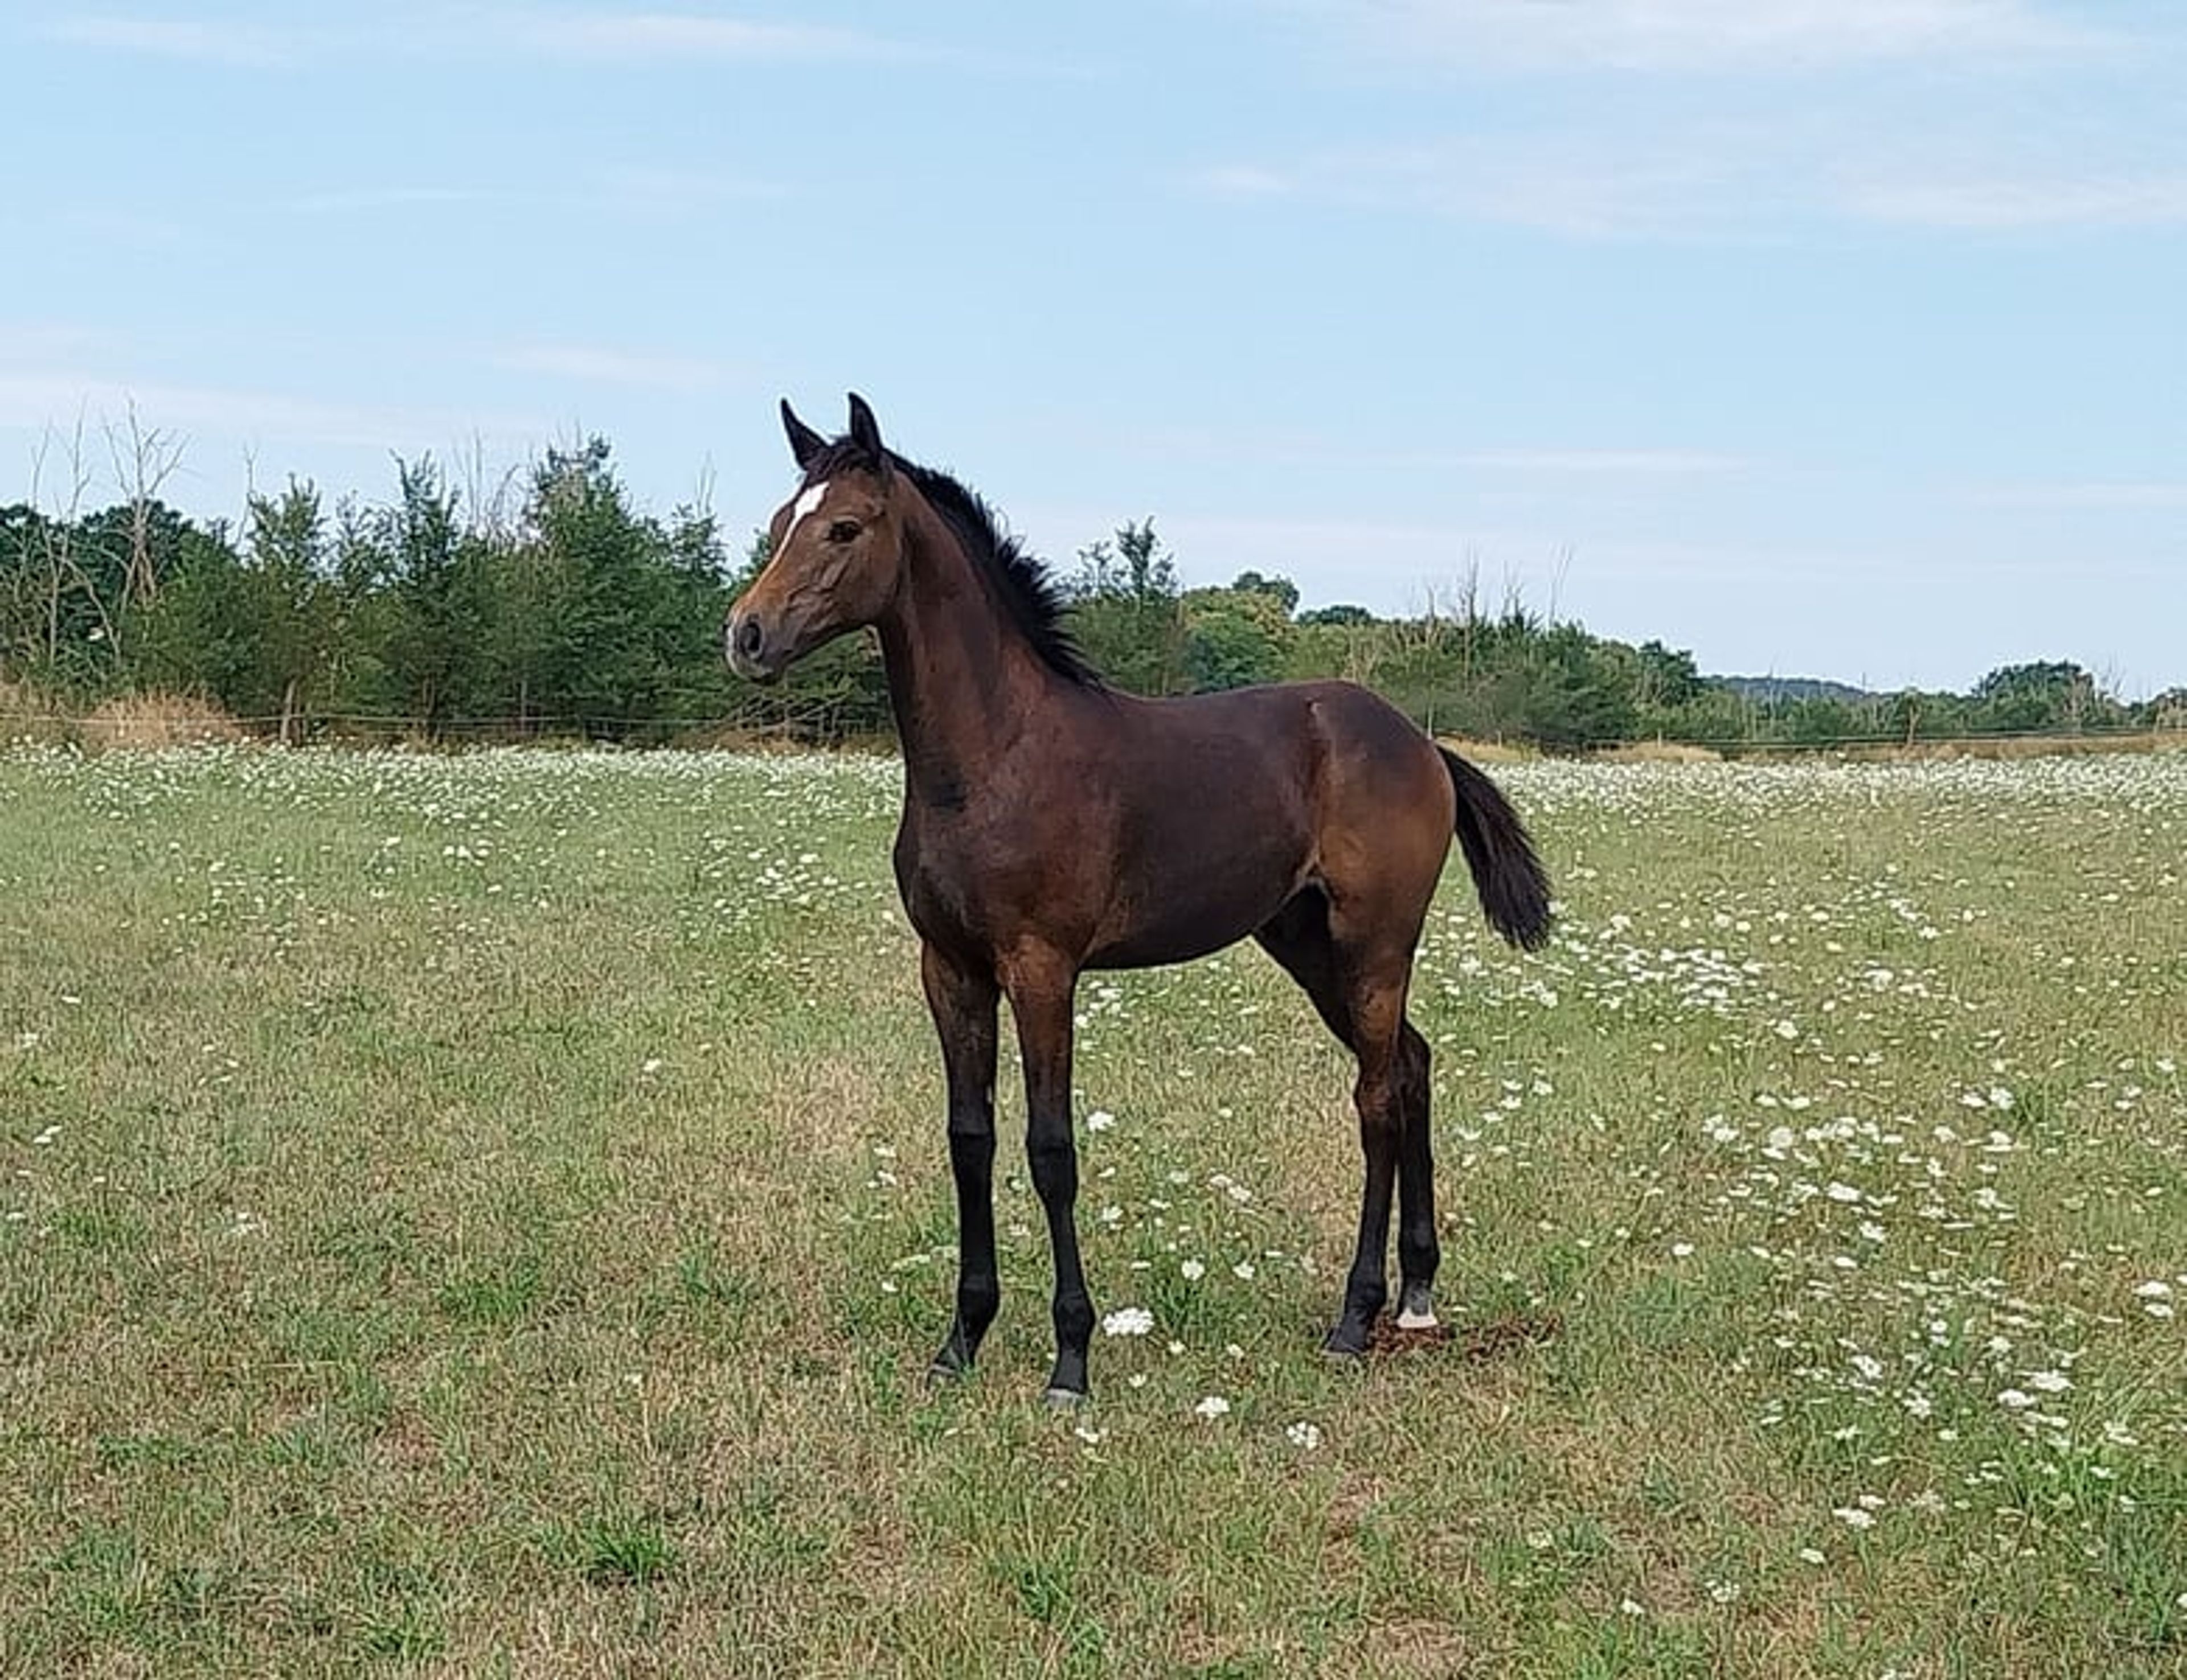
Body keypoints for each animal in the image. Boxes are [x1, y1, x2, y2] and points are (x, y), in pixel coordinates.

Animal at [727, 395, 1552, 1404]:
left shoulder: (1043, 968)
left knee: (1378, 1098)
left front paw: (1071, 1359)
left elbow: (1050, 1149)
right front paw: (960, 1341)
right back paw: (1418, 1293)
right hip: (1306, 942)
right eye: (780, 521)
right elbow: (970, 1138)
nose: (746, 636)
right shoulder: (950, 967)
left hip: (1375, 944)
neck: (996, 756)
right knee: (1413, 1065)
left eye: (844, 527)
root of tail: (1422, 743)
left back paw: (1355, 1318)